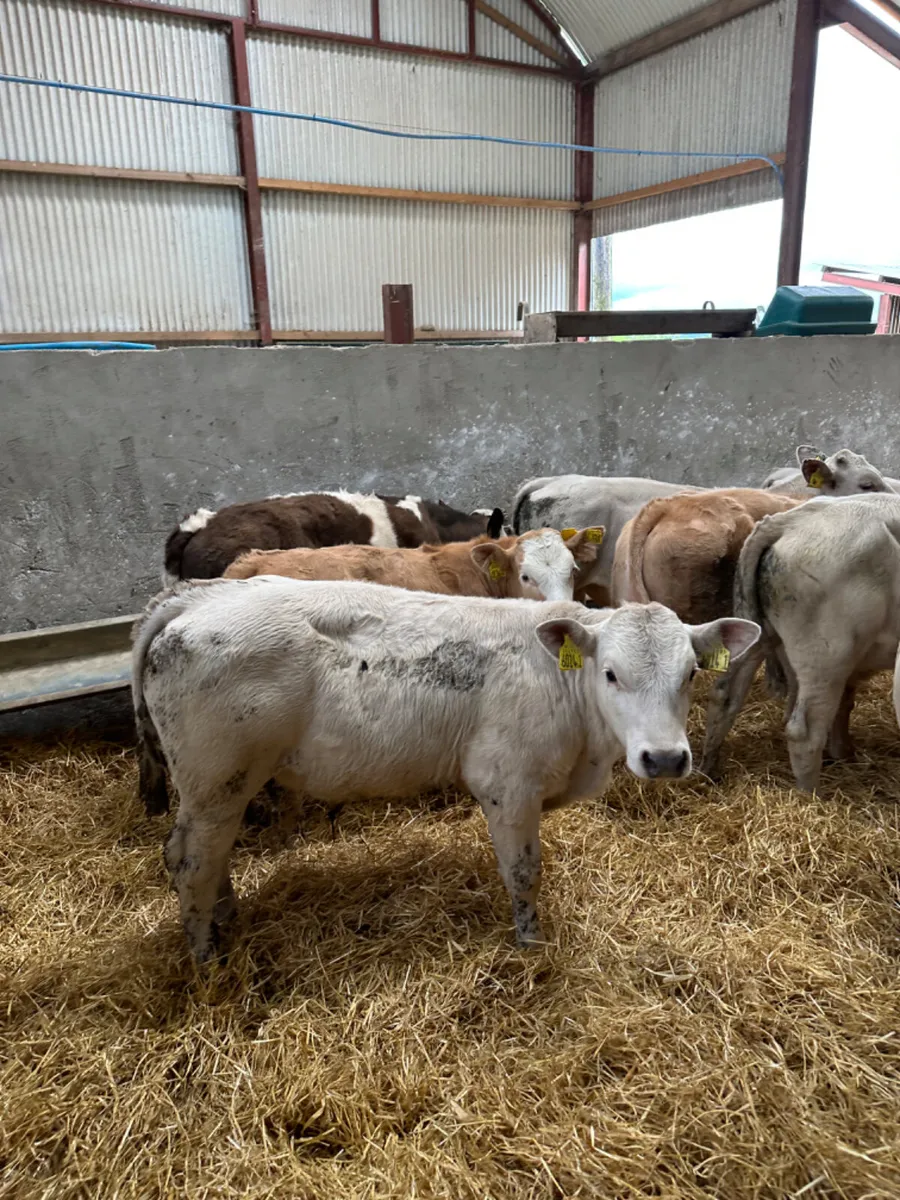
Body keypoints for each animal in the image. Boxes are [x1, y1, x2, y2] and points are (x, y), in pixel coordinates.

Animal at [132, 578, 759, 963]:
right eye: (610, 673)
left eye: (691, 673)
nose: (666, 758)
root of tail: (197, 597)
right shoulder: (508, 783)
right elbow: (524, 872)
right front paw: (531, 943)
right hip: (216, 778)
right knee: (189, 860)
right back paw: (207, 957)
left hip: (221, 787)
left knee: (211, 856)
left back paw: (225, 921)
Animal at [700, 493, 900, 789]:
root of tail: (789, 520)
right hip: (828, 654)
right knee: (804, 731)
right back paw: (811, 795)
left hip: (756, 635)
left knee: (724, 694)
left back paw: (707, 771)